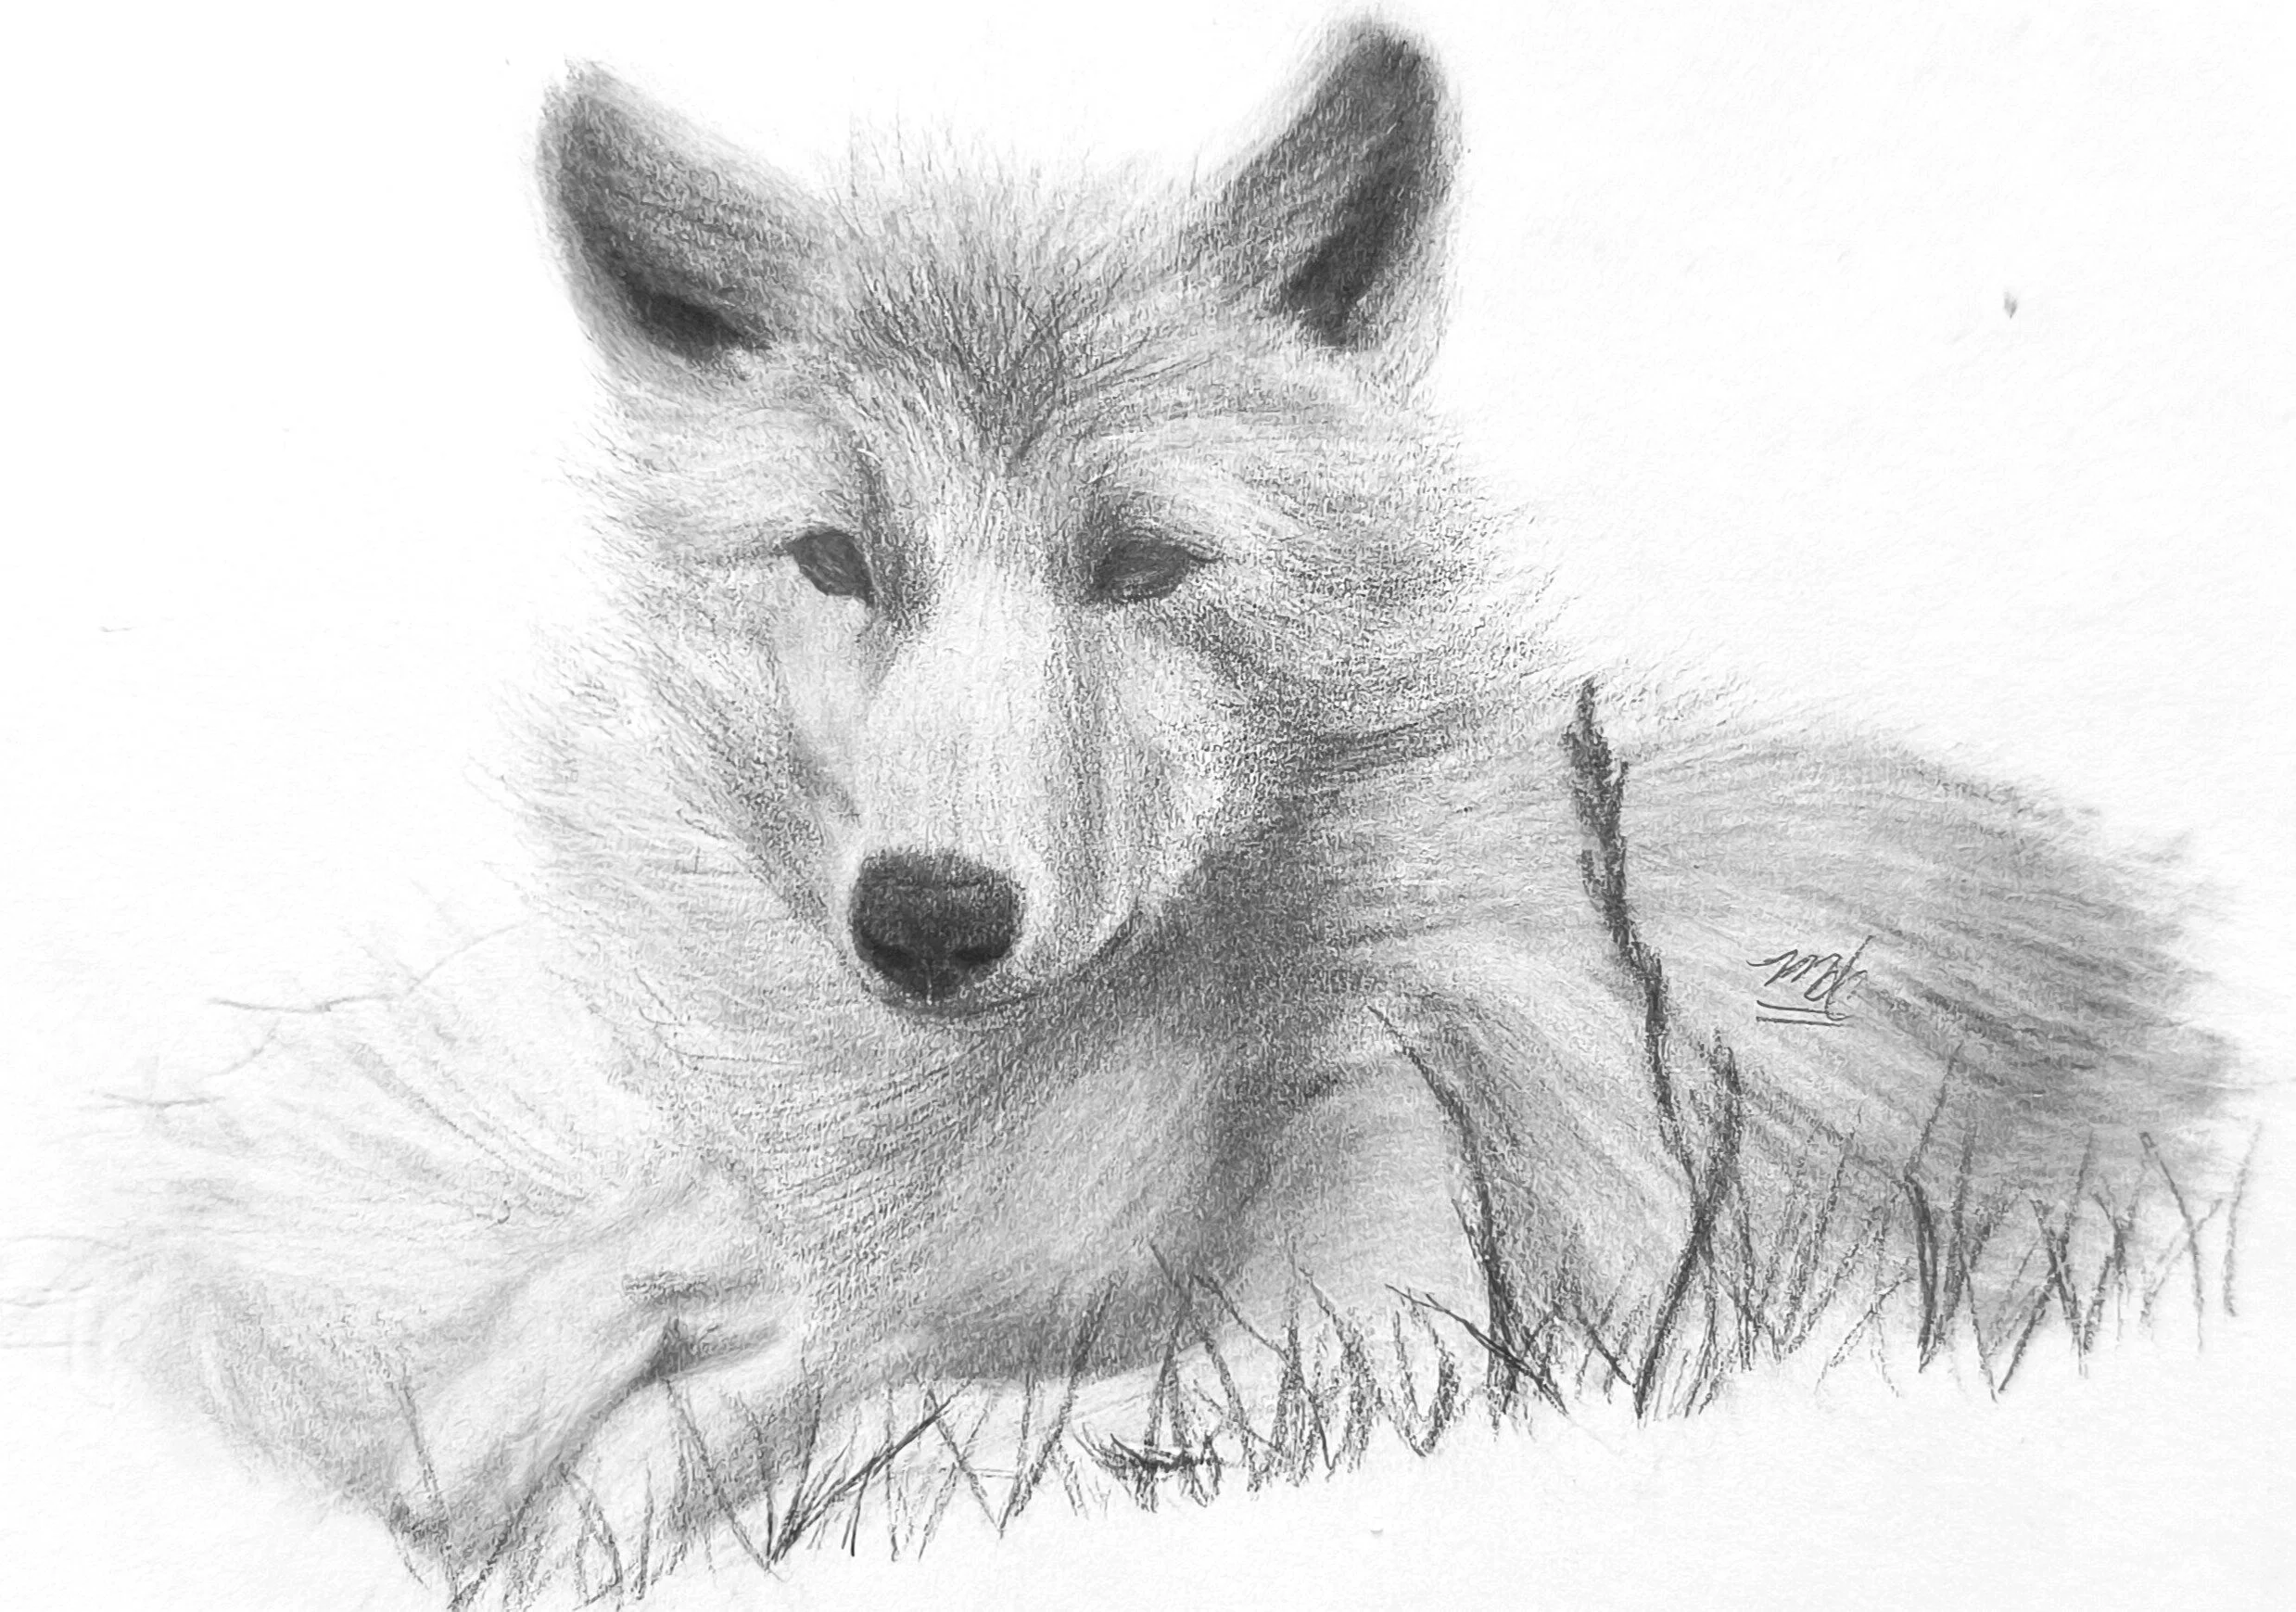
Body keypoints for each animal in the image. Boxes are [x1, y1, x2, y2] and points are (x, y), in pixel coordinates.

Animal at [64, 20, 2243, 1605]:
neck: (1075, 1092)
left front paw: (607, 1499)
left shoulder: (1387, 1343)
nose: (926, 918)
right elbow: (616, 1319)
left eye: (1139, 564)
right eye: (838, 559)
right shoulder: (854, 1246)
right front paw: (467, 1453)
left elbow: (897, 1437)